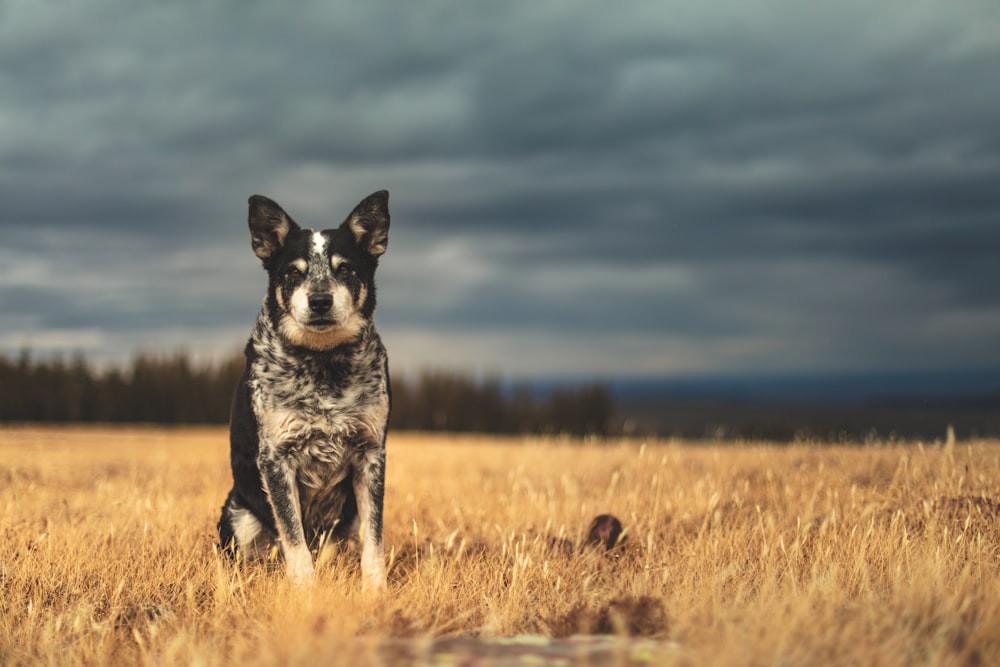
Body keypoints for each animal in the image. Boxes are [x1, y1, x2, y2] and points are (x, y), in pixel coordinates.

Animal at [219, 189, 390, 588]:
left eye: (345, 269)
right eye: (293, 273)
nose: (320, 300)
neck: (322, 364)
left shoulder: (371, 454)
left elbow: (374, 539)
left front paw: (376, 591)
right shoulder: (276, 458)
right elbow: (294, 540)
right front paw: (305, 592)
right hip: (238, 515)